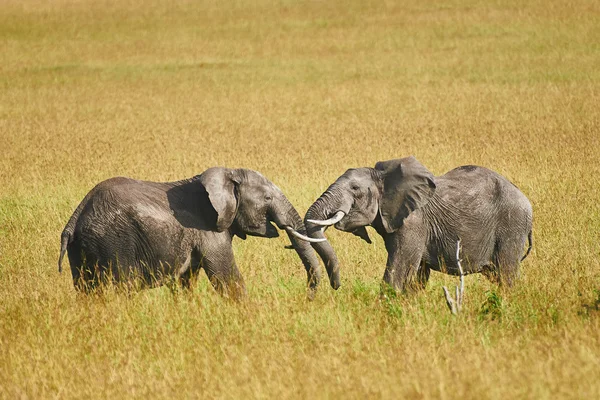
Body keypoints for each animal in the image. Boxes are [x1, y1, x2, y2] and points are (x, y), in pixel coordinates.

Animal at [58, 167, 326, 298]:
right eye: (267, 198)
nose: (307, 297)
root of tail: (76, 216)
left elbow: (185, 282)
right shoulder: (209, 230)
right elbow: (227, 279)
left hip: (83, 248)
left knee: (86, 289)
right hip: (114, 240)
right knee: (124, 285)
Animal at [304, 156, 536, 294]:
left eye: (355, 188)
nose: (336, 287)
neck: (386, 179)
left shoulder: (413, 223)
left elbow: (397, 272)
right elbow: (416, 279)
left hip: (512, 225)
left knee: (507, 275)